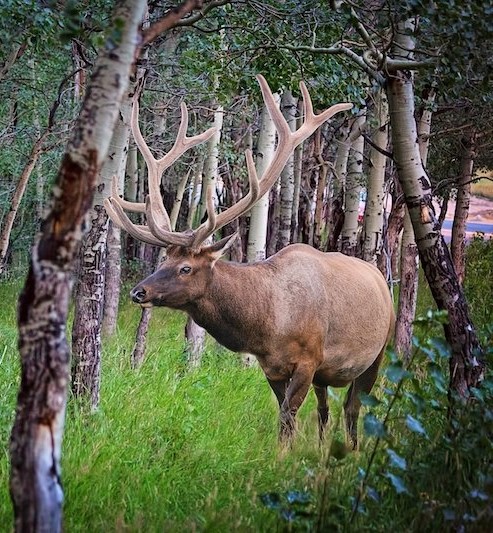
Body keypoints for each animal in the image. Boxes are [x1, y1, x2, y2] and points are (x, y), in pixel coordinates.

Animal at [105, 75, 394, 446]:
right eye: (162, 261)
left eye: (186, 268)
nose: (139, 292)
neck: (268, 325)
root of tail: (381, 278)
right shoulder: (272, 367)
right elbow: (286, 418)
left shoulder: (309, 359)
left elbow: (287, 418)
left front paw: (283, 456)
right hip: (328, 375)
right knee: (325, 410)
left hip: (378, 352)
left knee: (353, 408)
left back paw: (351, 450)